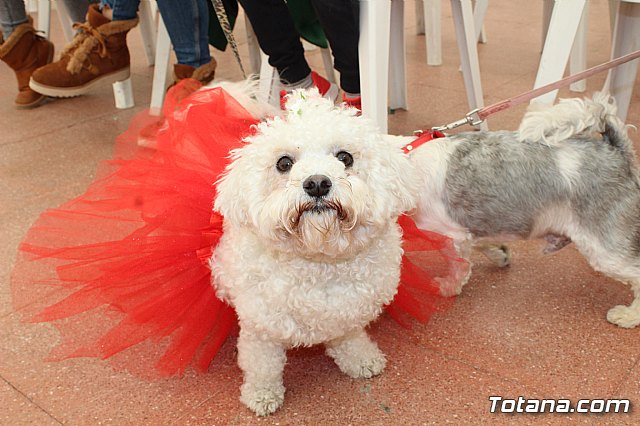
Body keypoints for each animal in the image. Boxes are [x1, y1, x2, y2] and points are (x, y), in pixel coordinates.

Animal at [211, 89, 420, 416]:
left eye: (345, 157)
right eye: (284, 163)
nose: (318, 183)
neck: (320, 261)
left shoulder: (349, 310)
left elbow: (351, 338)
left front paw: (362, 359)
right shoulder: (260, 327)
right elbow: (262, 366)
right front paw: (261, 394)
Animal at [404, 95, 640, 330]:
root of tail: (616, 151)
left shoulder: (451, 235)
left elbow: (457, 267)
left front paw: (447, 287)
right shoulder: (470, 228)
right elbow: (480, 244)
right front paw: (499, 254)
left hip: (606, 248)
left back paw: (628, 316)